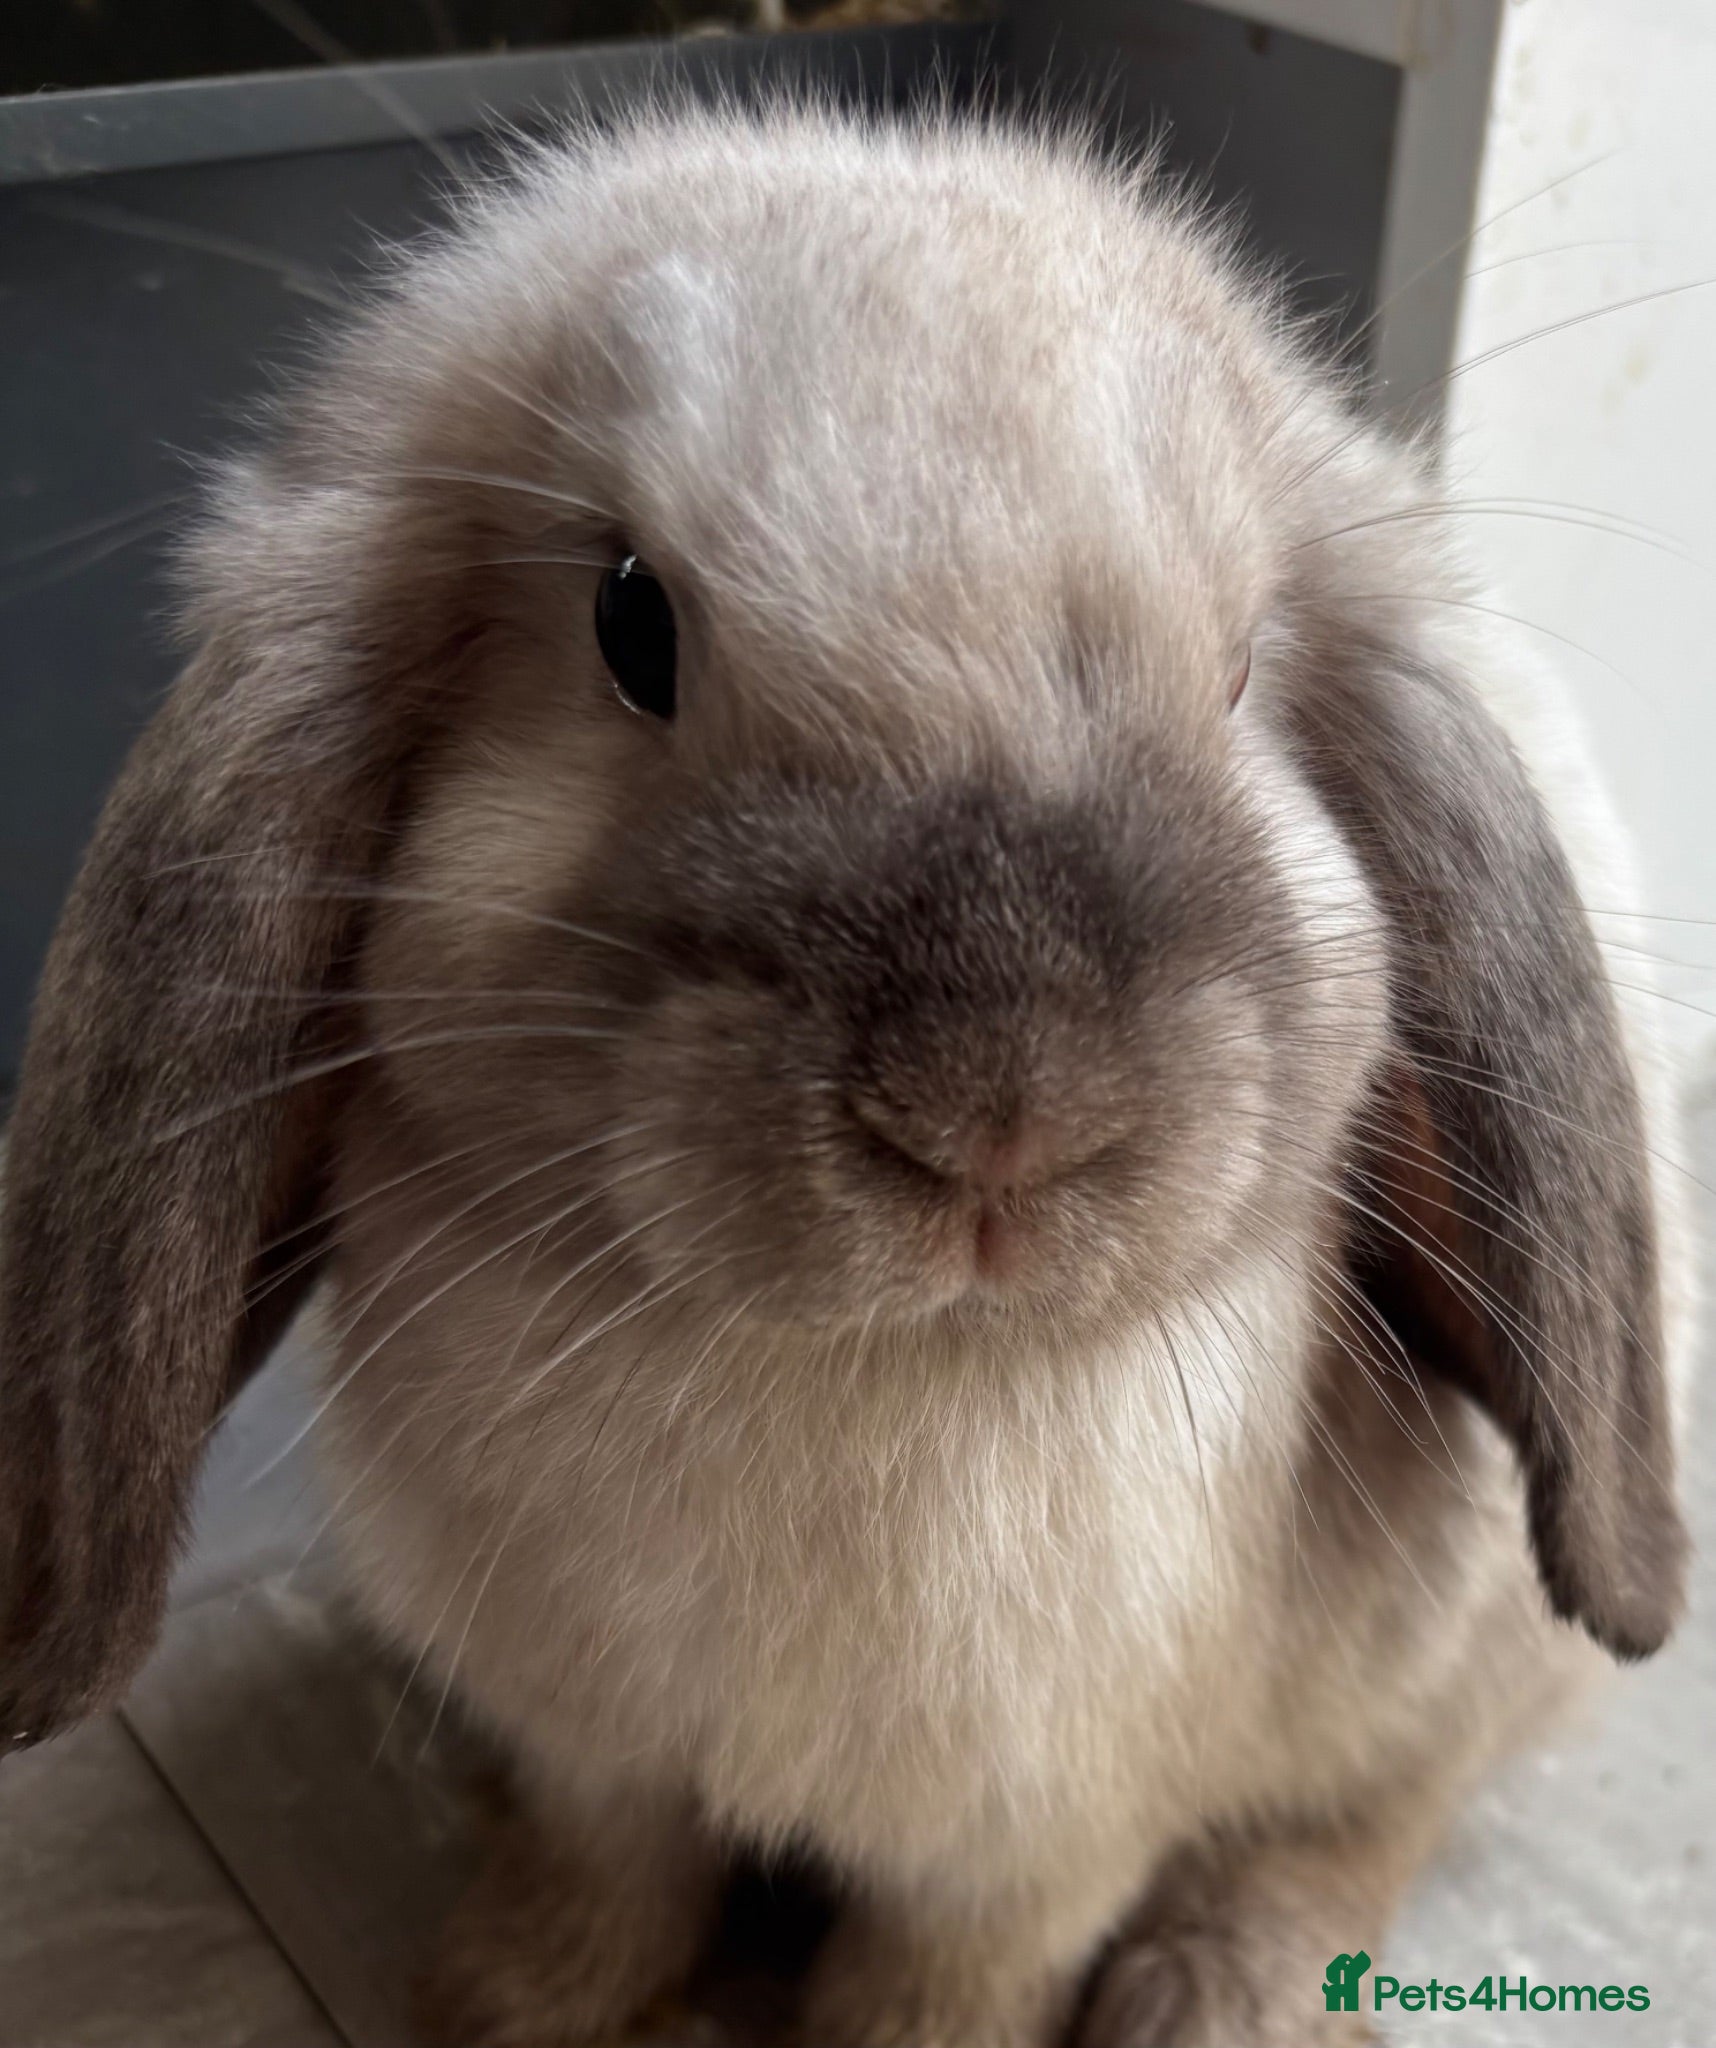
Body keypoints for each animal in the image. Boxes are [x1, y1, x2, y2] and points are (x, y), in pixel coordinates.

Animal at [0, 102, 1695, 2048]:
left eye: (1245, 666)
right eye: (632, 624)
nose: (1003, 1120)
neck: (887, 1369)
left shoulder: (1042, 1843)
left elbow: (953, 1972)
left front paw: (887, 2037)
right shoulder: (602, 1757)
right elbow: (604, 1871)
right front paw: (505, 2002)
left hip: (1475, 1655)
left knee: (1370, 1816)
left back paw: (1222, 1994)